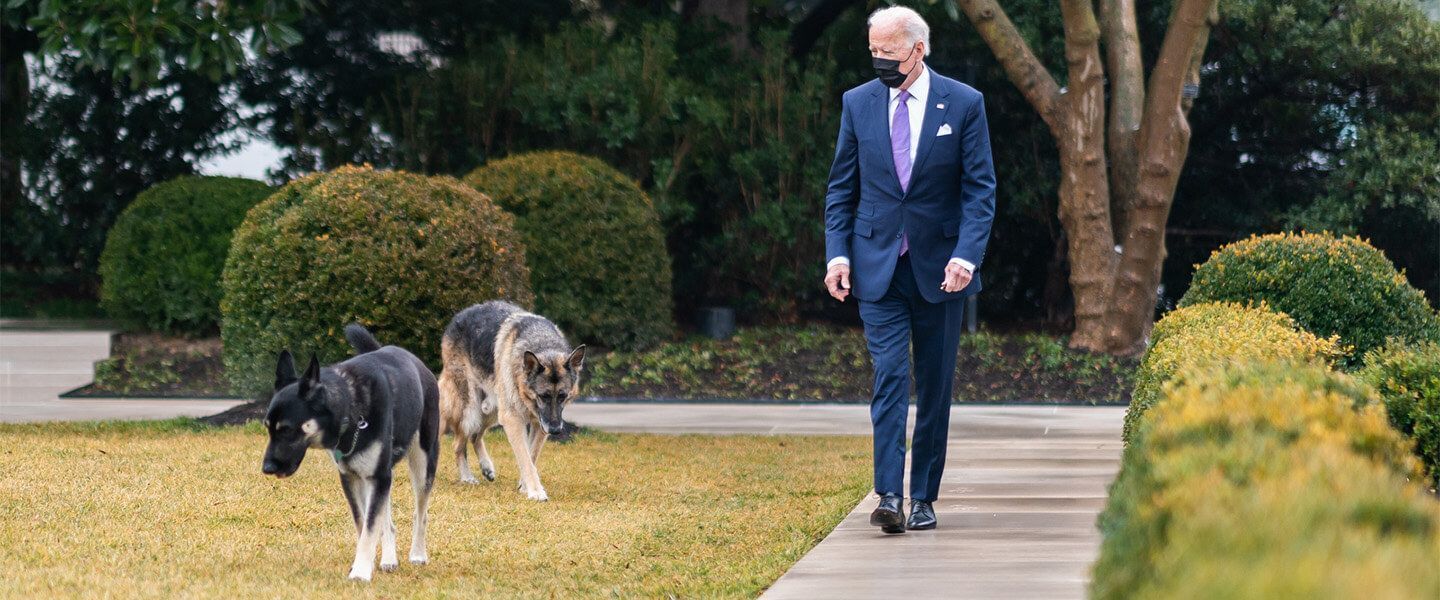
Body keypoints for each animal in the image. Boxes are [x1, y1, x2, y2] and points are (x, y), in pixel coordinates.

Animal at [259, 322, 437, 581]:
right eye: (268, 428)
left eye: (287, 429)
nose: (267, 468)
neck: (350, 409)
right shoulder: (354, 478)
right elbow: (364, 524)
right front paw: (363, 564)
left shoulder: (377, 476)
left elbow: (370, 528)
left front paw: (361, 572)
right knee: (388, 521)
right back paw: (389, 559)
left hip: (423, 463)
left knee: (420, 514)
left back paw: (418, 554)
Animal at [434, 299, 581, 500]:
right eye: (543, 396)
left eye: (562, 396)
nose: (555, 430)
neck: (542, 343)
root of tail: (459, 315)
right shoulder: (513, 420)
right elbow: (525, 457)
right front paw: (535, 491)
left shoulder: (538, 425)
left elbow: (531, 456)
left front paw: (525, 485)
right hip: (468, 409)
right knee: (457, 442)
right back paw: (465, 477)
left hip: (492, 411)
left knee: (474, 437)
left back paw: (486, 467)